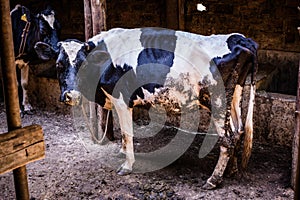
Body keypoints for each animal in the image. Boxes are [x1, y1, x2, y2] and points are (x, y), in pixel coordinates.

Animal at [54, 27, 258, 189]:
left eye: (83, 63)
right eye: (58, 64)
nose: (72, 95)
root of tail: (240, 39)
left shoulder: (121, 100)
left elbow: (127, 132)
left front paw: (127, 165)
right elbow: (125, 134)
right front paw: (122, 152)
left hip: (217, 100)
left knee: (227, 139)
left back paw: (213, 180)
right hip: (235, 95)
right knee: (238, 131)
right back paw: (230, 171)